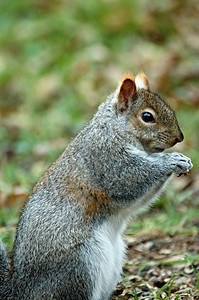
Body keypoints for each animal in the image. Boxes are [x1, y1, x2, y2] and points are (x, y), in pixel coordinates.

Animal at [0, 71, 193, 298]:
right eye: (147, 117)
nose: (179, 138)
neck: (114, 129)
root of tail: (21, 290)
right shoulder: (107, 158)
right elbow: (130, 178)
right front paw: (171, 160)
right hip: (80, 266)